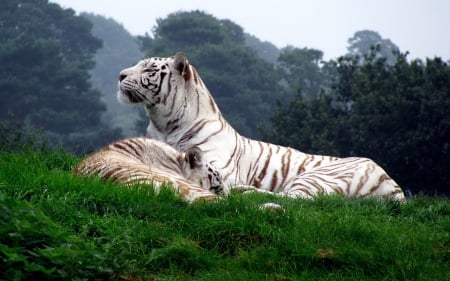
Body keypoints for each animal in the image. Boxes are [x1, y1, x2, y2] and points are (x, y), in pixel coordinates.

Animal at [116, 52, 404, 201]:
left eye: (149, 70)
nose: (120, 75)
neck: (163, 123)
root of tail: (395, 186)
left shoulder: (219, 167)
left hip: (317, 176)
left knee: (297, 199)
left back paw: (246, 191)